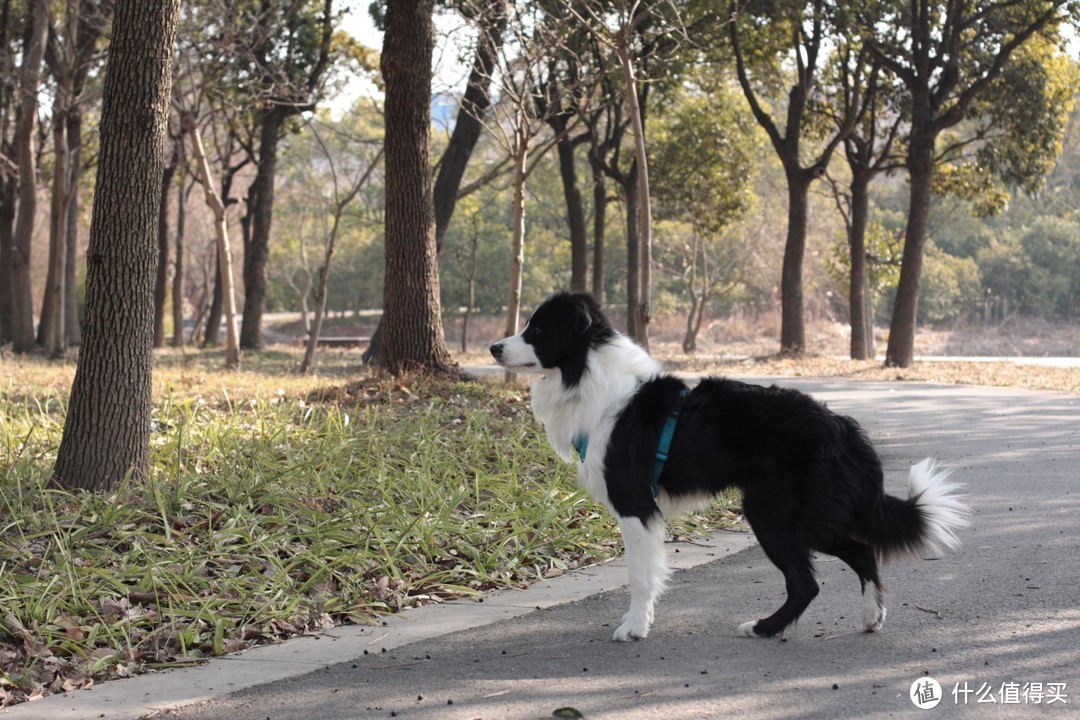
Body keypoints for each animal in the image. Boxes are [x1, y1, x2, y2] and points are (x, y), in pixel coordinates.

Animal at [490, 293, 972, 643]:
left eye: (538, 328)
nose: (494, 347)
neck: (592, 376)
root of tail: (842, 427)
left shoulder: (634, 504)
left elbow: (640, 576)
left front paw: (634, 627)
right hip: (805, 516)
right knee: (861, 553)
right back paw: (871, 617)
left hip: (777, 514)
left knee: (810, 581)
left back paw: (765, 627)